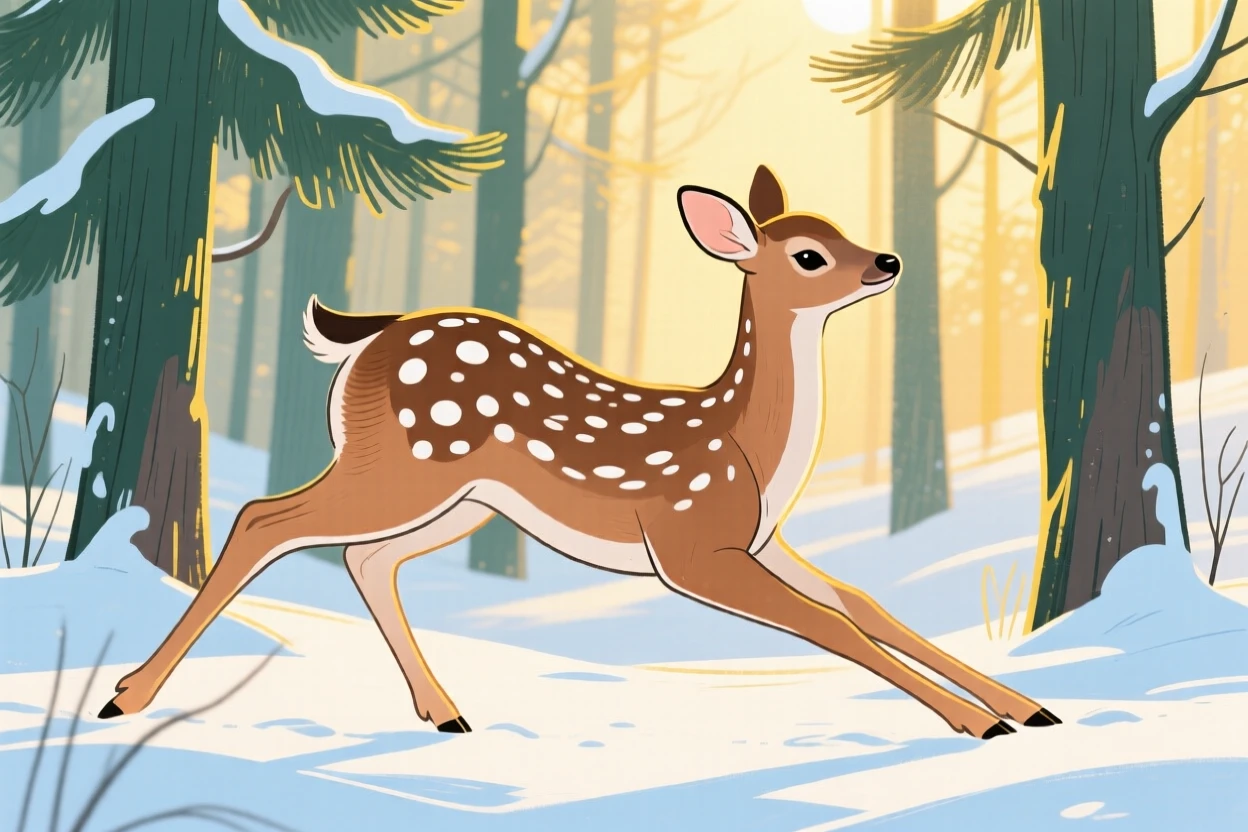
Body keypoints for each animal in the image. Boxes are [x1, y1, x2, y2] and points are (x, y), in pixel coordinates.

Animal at [97, 165, 1060, 740]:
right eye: (809, 254)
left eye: (841, 227)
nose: (888, 262)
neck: (748, 445)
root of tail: (364, 340)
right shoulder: (689, 543)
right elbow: (826, 624)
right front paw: (976, 724)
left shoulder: (762, 537)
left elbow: (861, 602)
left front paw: (1025, 706)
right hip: (401, 465)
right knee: (269, 518)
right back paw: (125, 695)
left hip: (464, 500)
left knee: (366, 559)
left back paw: (445, 713)